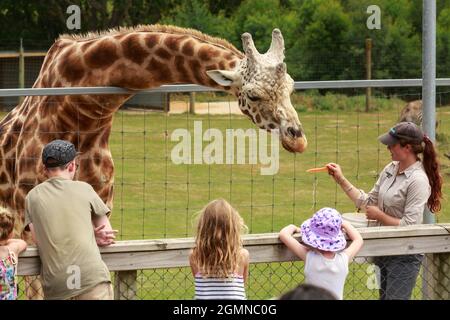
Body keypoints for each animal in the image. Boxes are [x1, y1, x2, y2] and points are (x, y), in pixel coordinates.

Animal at [0, 25, 308, 298]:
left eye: (291, 86)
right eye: (254, 94)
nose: (298, 138)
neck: (84, 114)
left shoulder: (101, 206)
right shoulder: (30, 219)